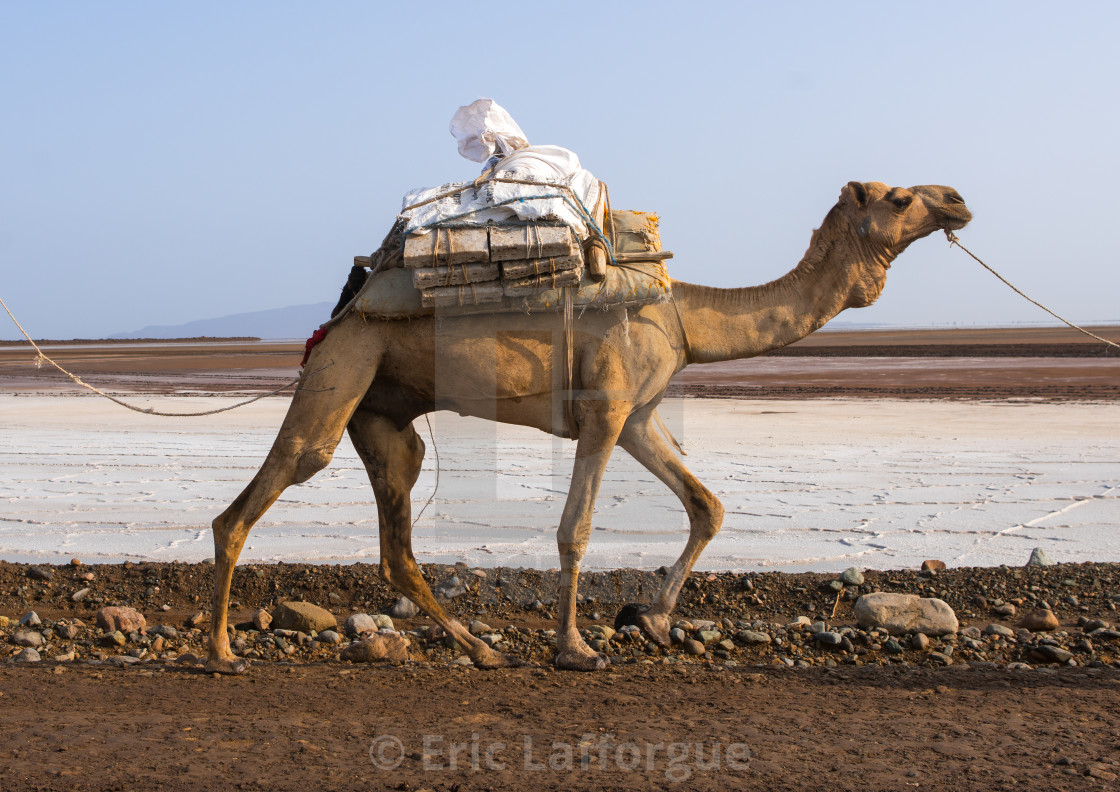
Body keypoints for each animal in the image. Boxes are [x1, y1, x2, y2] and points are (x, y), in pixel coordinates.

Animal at [203, 181, 972, 676]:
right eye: (900, 197)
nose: (959, 199)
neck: (685, 317)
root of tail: (345, 307)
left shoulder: (638, 416)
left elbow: (707, 504)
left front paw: (651, 621)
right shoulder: (605, 409)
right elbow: (575, 529)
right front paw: (576, 649)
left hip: (383, 413)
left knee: (398, 537)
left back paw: (484, 650)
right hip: (347, 363)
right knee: (275, 481)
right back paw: (221, 654)